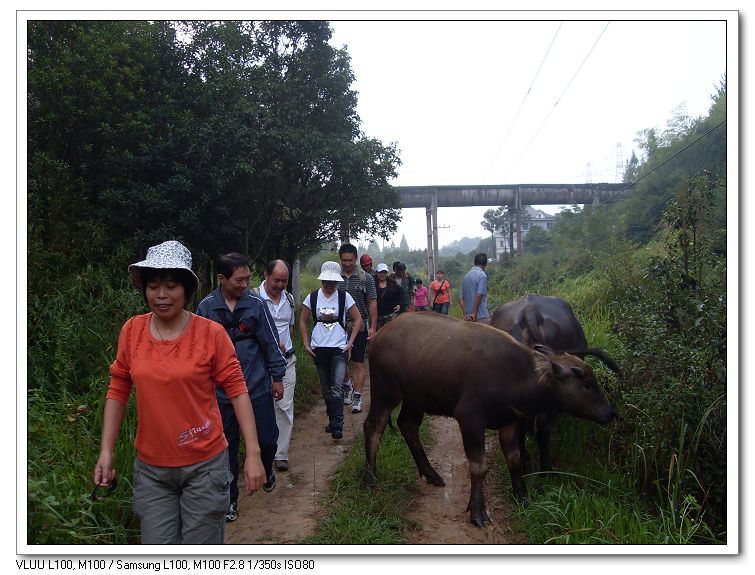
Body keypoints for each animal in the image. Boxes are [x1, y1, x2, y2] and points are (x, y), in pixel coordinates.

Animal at [364, 312, 616, 528]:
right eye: (587, 385)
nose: (610, 412)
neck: (516, 376)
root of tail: (378, 337)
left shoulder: (510, 422)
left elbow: (514, 460)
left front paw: (522, 496)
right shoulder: (470, 419)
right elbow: (478, 467)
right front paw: (477, 510)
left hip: (416, 397)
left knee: (408, 425)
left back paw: (431, 473)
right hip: (385, 391)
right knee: (373, 427)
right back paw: (371, 477)